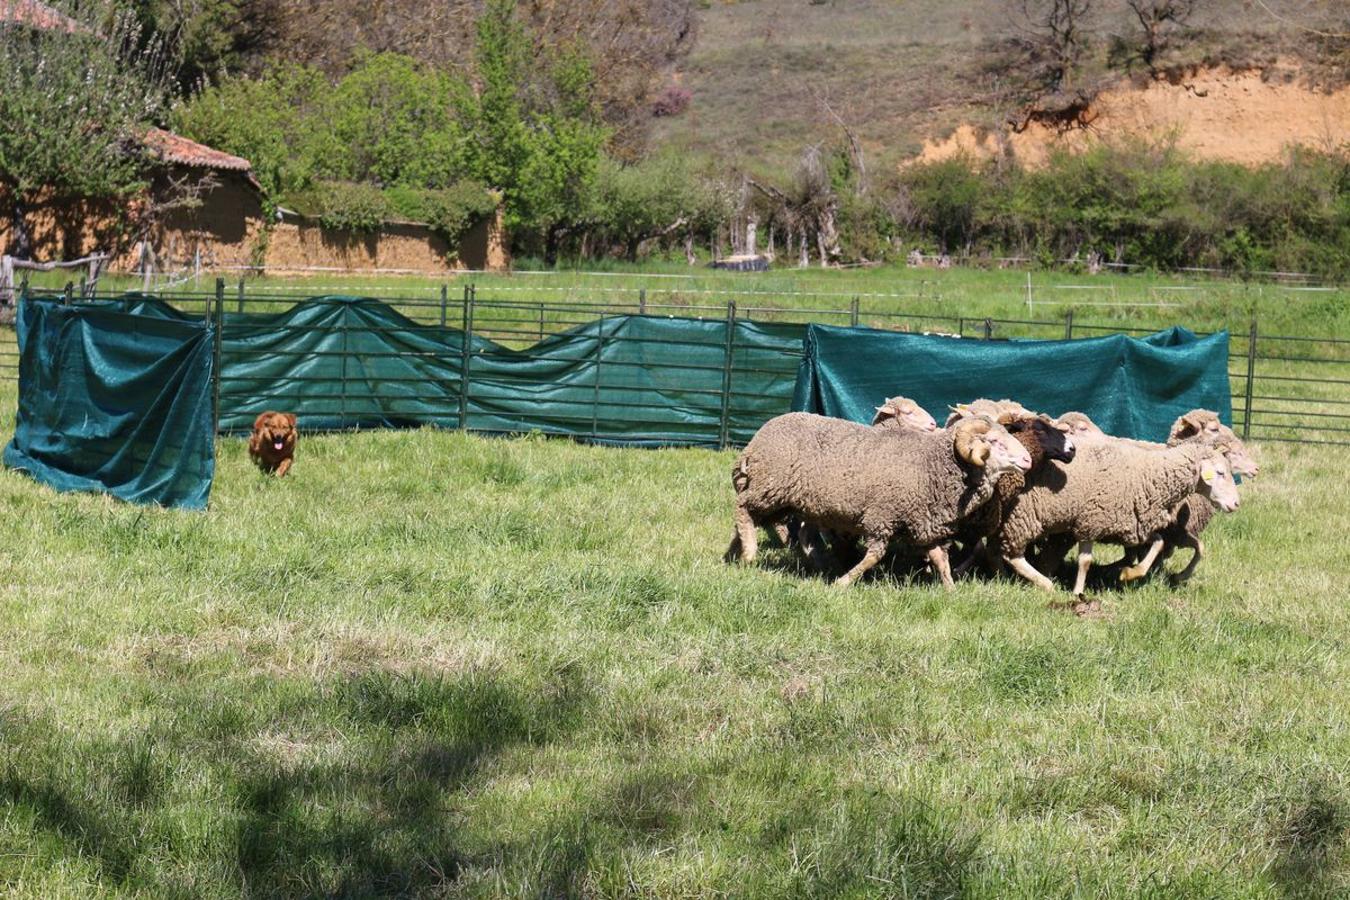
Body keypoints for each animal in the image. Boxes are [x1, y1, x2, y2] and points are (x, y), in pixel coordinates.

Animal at [729, 412, 1031, 588]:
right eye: (994, 442)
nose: (1028, 460)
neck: (933, 464)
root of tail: (756, 439)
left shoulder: (923, 523)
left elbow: (940, 559)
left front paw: (950, 589)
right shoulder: (882, 517)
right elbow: (874, 555)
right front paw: (843, 582)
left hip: (782, 498)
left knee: (750, 520)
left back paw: (733, 556)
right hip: (770, 487)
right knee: (742, 508)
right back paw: (749, 553)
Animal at [999, 437, 1236, 599]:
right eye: (1220, 473)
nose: (1236, 503)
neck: (1149, 474)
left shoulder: (1131, 525)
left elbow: (1157, 544)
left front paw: (1129, 574)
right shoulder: (1091, 521)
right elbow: (1085, 561)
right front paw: (1078, 592)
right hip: (1021, 517)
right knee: (1013, 556)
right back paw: (1045, 583)